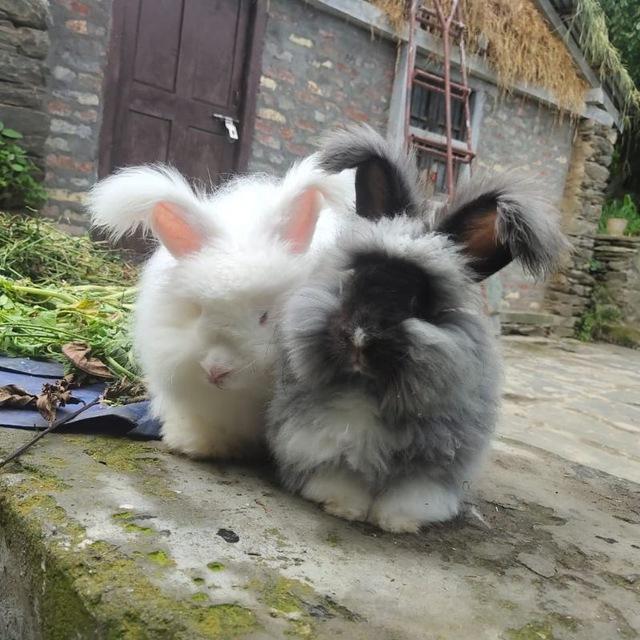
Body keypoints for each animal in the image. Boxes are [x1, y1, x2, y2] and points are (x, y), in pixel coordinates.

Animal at [266, 125, 568, 532]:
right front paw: (344, 507)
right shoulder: (319, 441)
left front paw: (397, 522)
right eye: (356, 281)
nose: (359, 337)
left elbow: (412, 494)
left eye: (417, 303)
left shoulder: (433, 464)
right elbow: (340, 477)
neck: (369, 391)